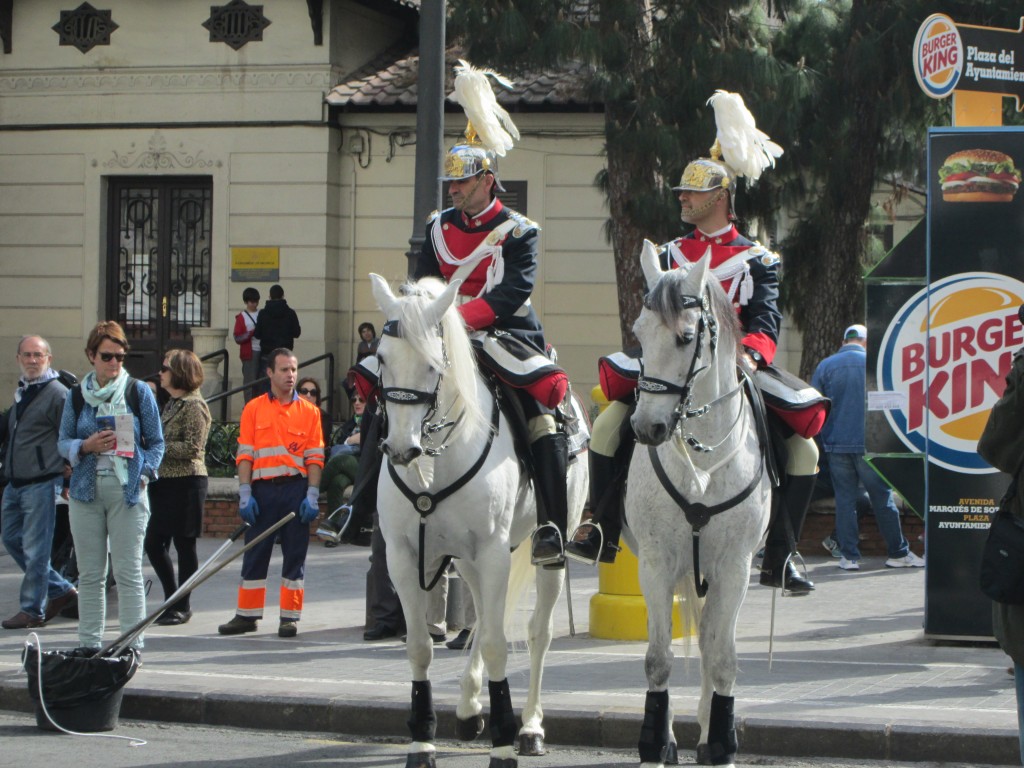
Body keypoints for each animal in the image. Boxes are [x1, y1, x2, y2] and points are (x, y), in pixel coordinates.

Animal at [372, 274, 589, 768]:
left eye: (434, 364)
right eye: (382, 359)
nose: (401, 449)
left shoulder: (492, 553)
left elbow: (495, 643)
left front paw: (504, 745)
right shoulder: (405, 557)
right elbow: (421, 647)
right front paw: (422, 742)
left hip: (544, 550)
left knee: (536, 633)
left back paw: (530, 727)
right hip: (470, 560)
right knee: (481, 623)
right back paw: (471, 708)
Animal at [618, 246, 770, 768]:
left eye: (686, 337)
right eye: (638, 333)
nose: (647, 428)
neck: (702, 458)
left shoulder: (735, 567)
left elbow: (722, 659)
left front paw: (720, 741)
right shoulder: (656, 563)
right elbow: (657, 659)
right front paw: (654, 740)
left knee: (709, 640)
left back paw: (707, 730)